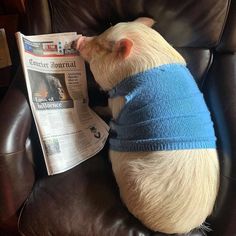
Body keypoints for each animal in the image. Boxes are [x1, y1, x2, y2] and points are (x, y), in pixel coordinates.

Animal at [74, 17, 220, 233]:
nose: (79, 39)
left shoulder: (117, 102)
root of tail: (185, 225)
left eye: (103, 47)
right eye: (101, 33)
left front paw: (96, 108)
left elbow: (108, 108)